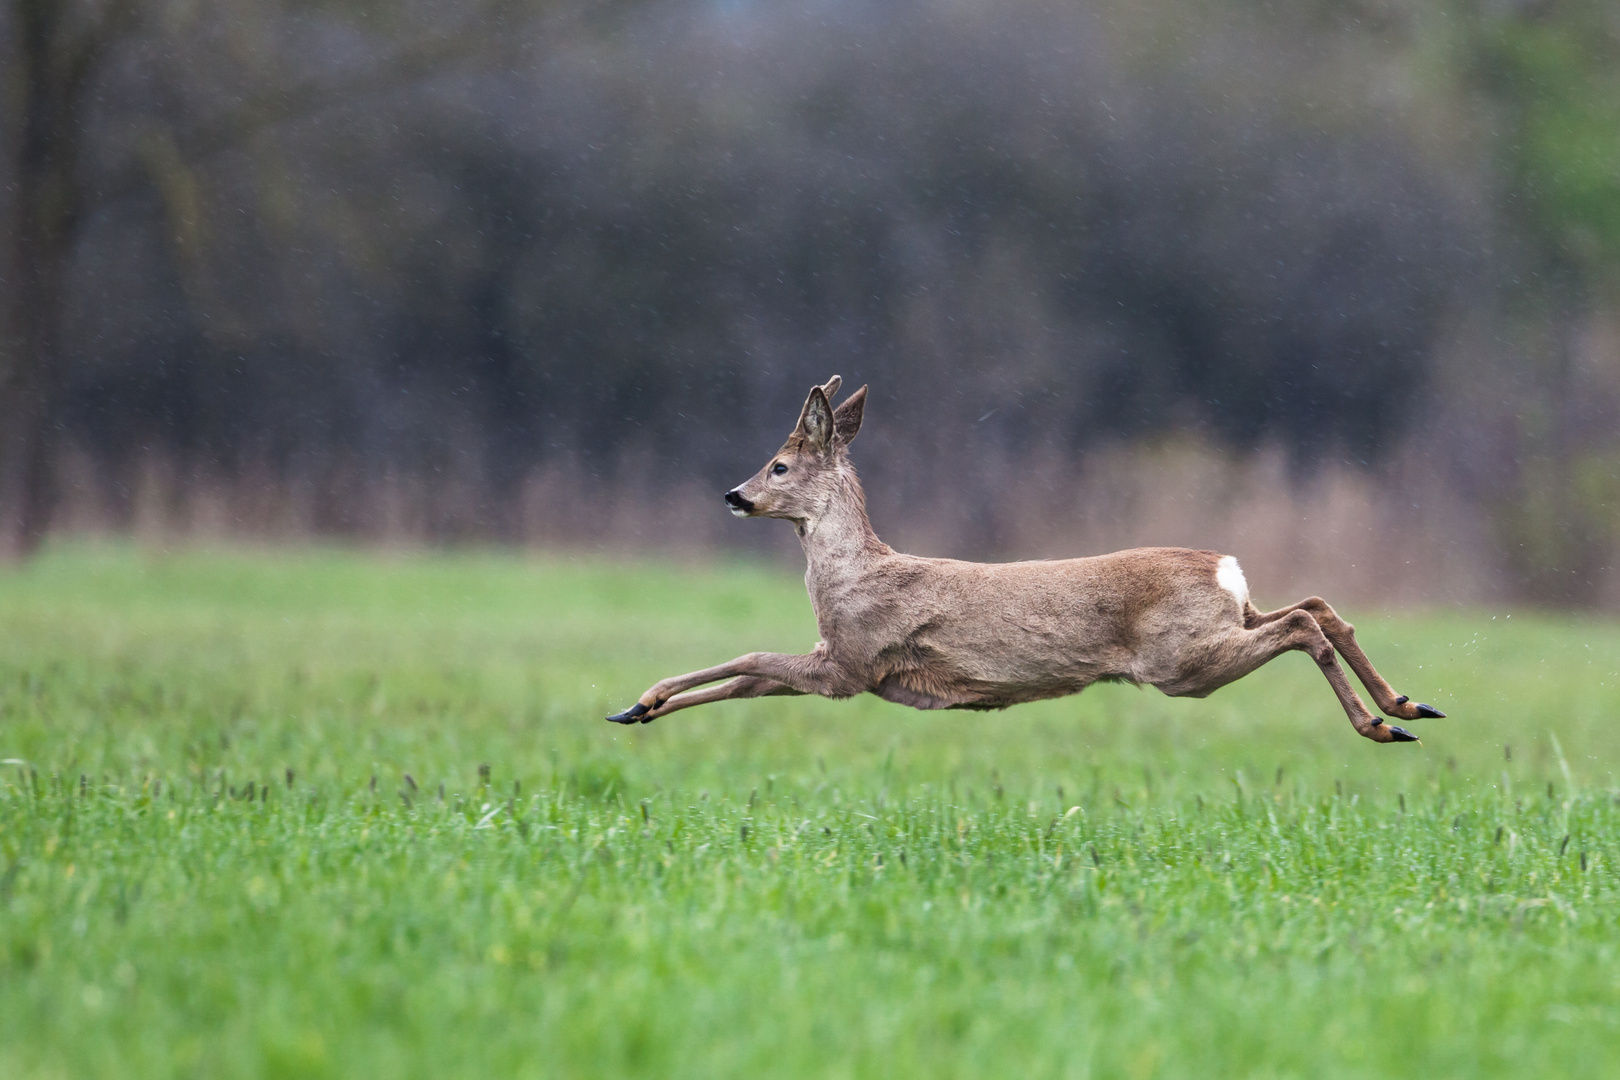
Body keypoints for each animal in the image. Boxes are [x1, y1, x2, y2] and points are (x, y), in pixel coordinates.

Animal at [609, 374, 1445, 744]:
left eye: (779, 465)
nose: (733, 494)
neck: (852, 576)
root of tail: (1223, 564)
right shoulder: (840, 664)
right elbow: (750, 677)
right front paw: (637, 709)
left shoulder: (853, 662)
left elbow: (751, 658)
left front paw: (643, 697)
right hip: (1222, 624)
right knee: (1318, 606)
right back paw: (1408, 706)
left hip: (1180, 659)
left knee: (1302, 625)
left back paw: (1382, 725)